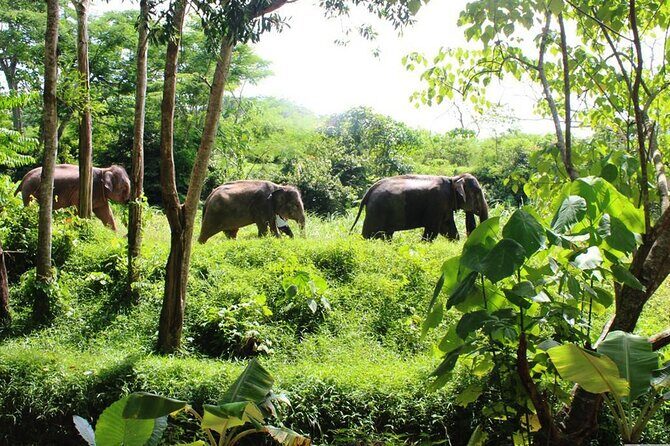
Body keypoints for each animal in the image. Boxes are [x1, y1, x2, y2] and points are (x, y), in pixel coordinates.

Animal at [349, 173, 488, 241]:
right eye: (478, 192)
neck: (453, 179)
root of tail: (368, 192)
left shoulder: (445, 205)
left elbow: (448, 228)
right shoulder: (438, 202)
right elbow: (433, 231)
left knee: (386, 234)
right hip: (376, 211)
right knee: (369, 234)